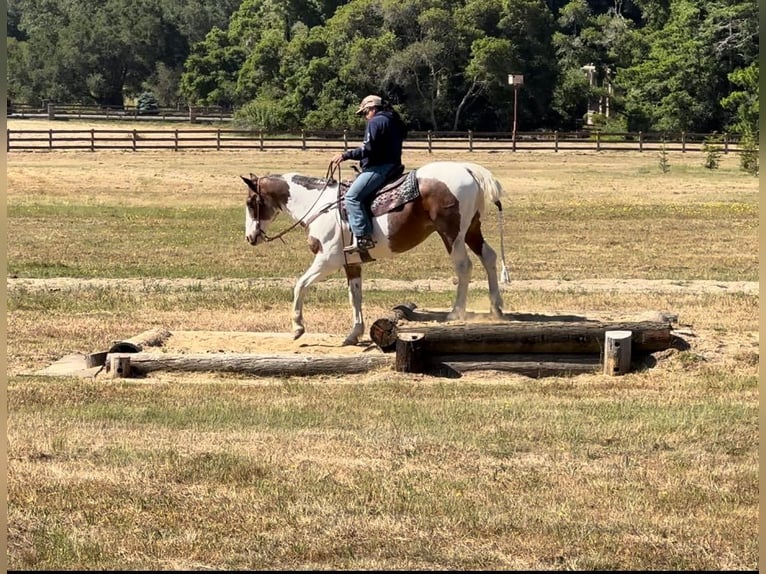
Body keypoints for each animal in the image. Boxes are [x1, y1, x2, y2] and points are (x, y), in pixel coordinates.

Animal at [242, 161, 511, 346]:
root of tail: (467, 169)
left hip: (452, 234)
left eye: (250, 202)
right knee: (489, 257)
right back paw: (496, 307)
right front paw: (354, 333)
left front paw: (297, 327)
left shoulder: (327, 260)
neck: (320, 205)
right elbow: (355, 296)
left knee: (464, 266)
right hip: (472, 229)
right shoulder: (351, 263)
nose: (250, 237)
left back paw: (456, 312)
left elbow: (300, 284)